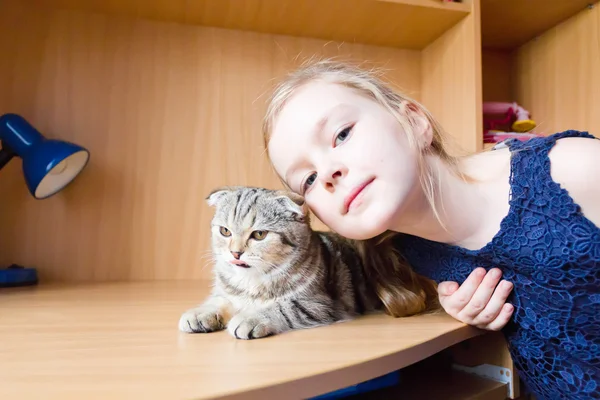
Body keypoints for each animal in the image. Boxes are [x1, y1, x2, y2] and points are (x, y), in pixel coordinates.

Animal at [178, 186, 384, 340]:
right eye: (225, 231)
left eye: (259, 234)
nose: (235, 253)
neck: (251, 281)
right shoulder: (227, 292)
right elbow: (219, 300)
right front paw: (201, 312)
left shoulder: (319, 304)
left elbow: (283, 307)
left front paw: (250, 317)